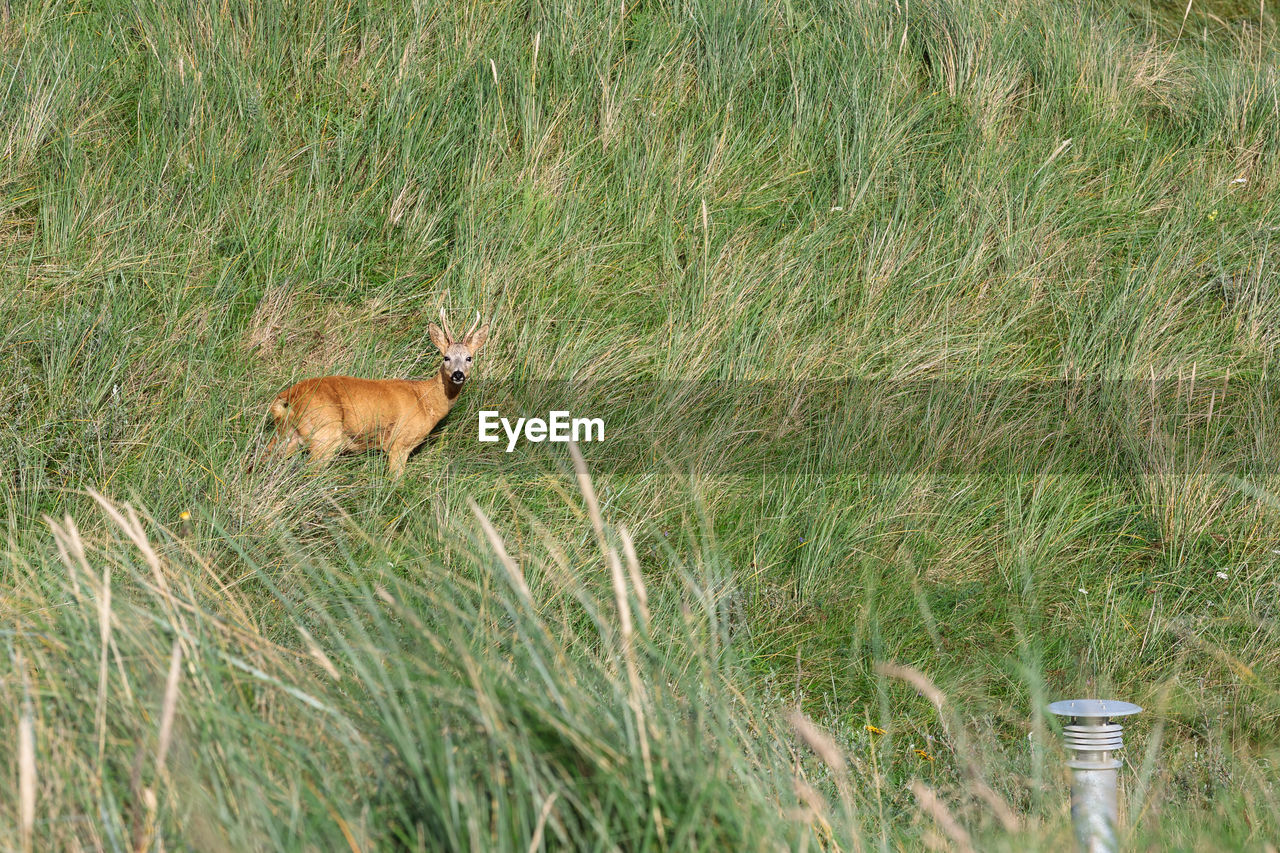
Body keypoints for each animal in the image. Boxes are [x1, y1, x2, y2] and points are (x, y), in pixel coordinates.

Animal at [264, 307, 488, 479]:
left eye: (469, 358)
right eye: (446, 357)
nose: (458, 374)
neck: (425, 400)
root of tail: (289, 396)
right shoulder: (399, 443)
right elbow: (396, 481)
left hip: (288, 435)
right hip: (325, 435)